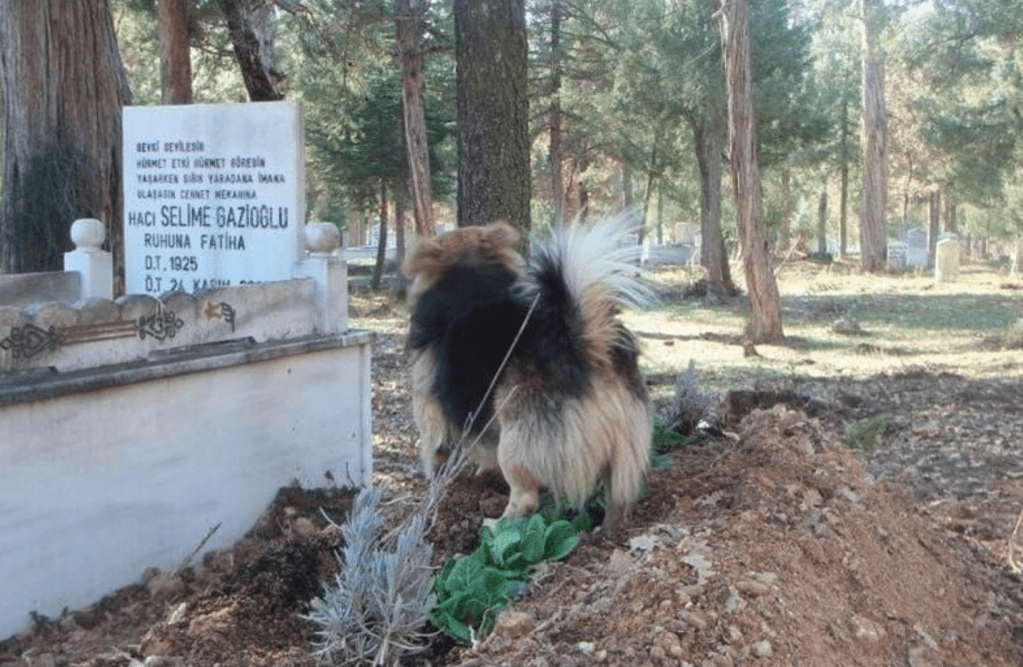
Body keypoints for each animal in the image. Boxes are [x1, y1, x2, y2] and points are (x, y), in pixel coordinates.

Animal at [403, 220, 650, 536]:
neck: (471, 272)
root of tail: (584, 344)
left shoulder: (430, 414)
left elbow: (436, 455)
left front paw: (437, 493)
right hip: (622, 445)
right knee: (617, 494)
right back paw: (607, 529)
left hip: (515, 443)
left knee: (525, 499)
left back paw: (495, 526)